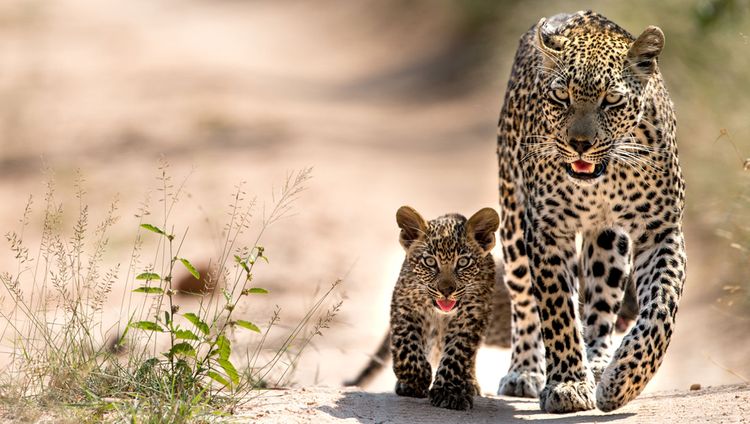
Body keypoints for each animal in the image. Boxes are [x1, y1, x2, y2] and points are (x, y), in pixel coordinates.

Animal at [500, 10, 688, 414]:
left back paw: (600, 362)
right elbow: (557, 311)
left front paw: (624, 379)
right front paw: (568, 385)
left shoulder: (661, 231)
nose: (580, 144)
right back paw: (524, 371)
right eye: (561, 96)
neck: (603, 179)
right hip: (512, 223)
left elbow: (661, 310)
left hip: (609, 240)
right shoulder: (547, 230)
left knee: (601, 303)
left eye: (612, 100)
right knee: (523, 300)